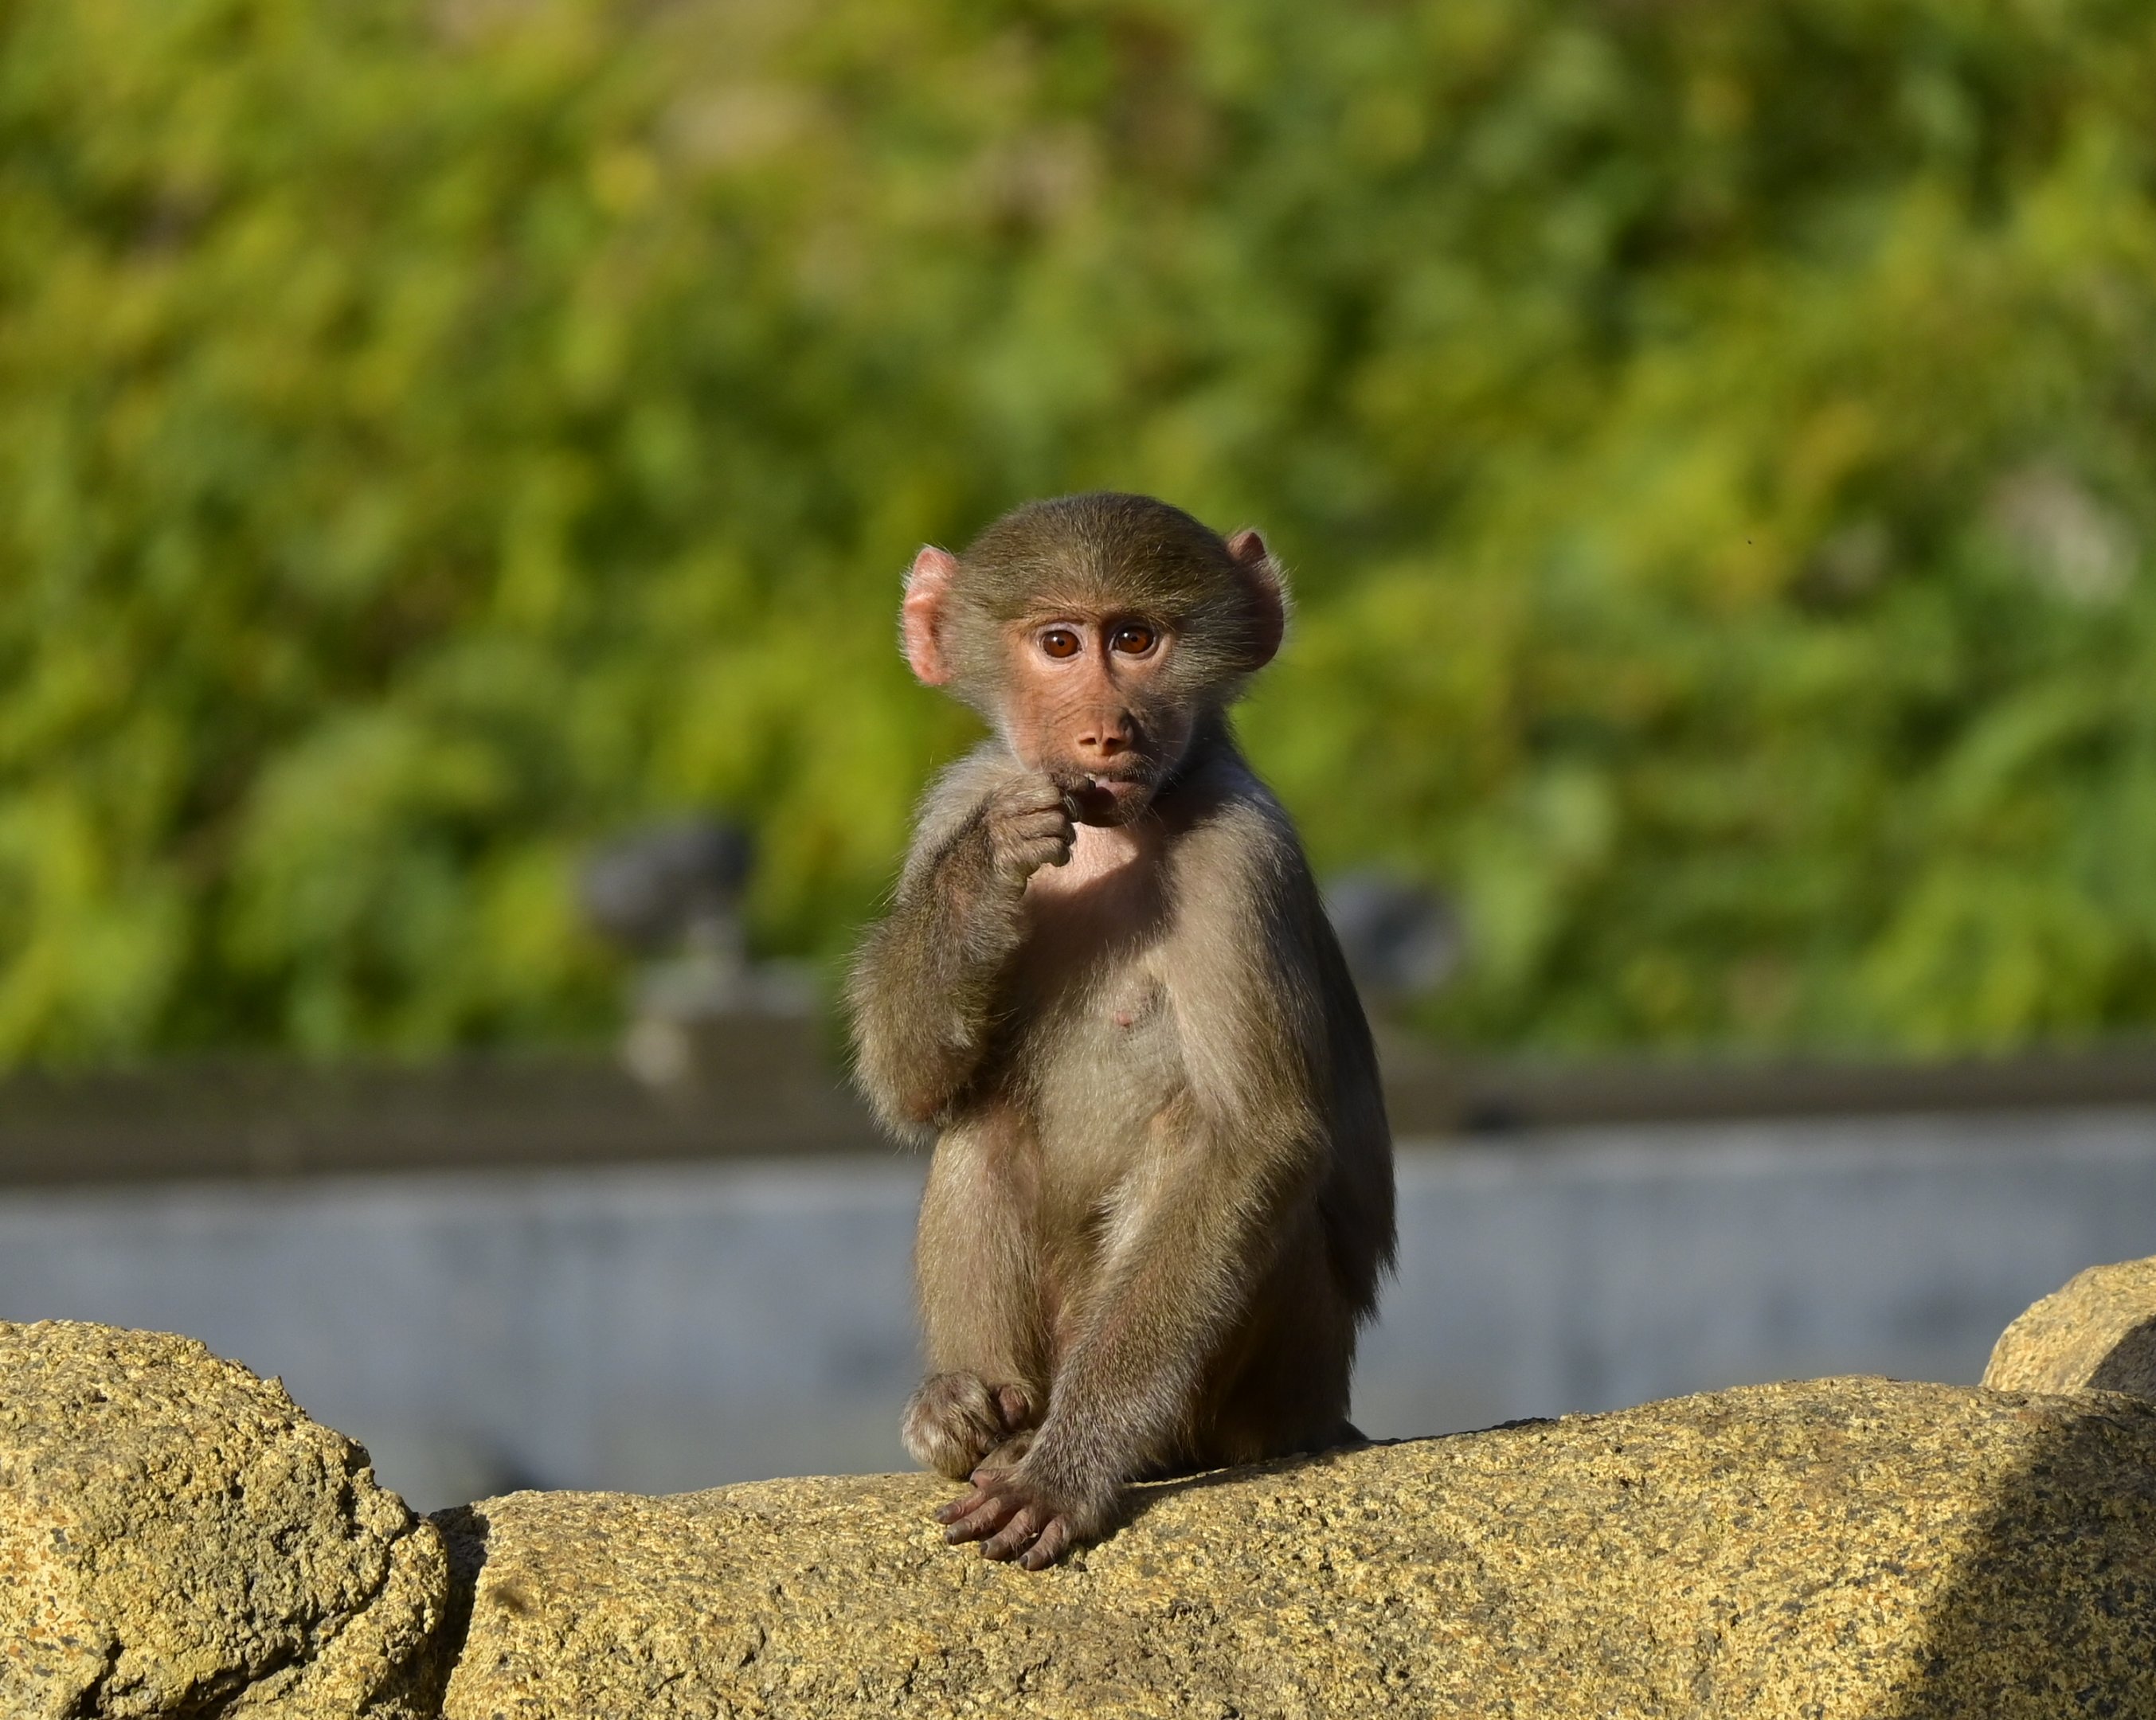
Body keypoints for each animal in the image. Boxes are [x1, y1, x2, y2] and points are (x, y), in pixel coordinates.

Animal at [845, 492, 1394, 1571]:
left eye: (1135, 640)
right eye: (1060, 643)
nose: (1104, 735)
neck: (1115, 832)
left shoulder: (1239, 855)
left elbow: (1255, 1136)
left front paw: (1068, 1473)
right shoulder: (959, 795)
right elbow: (908, 1083)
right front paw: (987, 871)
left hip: (1279, 1372)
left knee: (1194, 1140)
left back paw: (1089, 1444)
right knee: (984, 1128)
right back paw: (971, 1415)